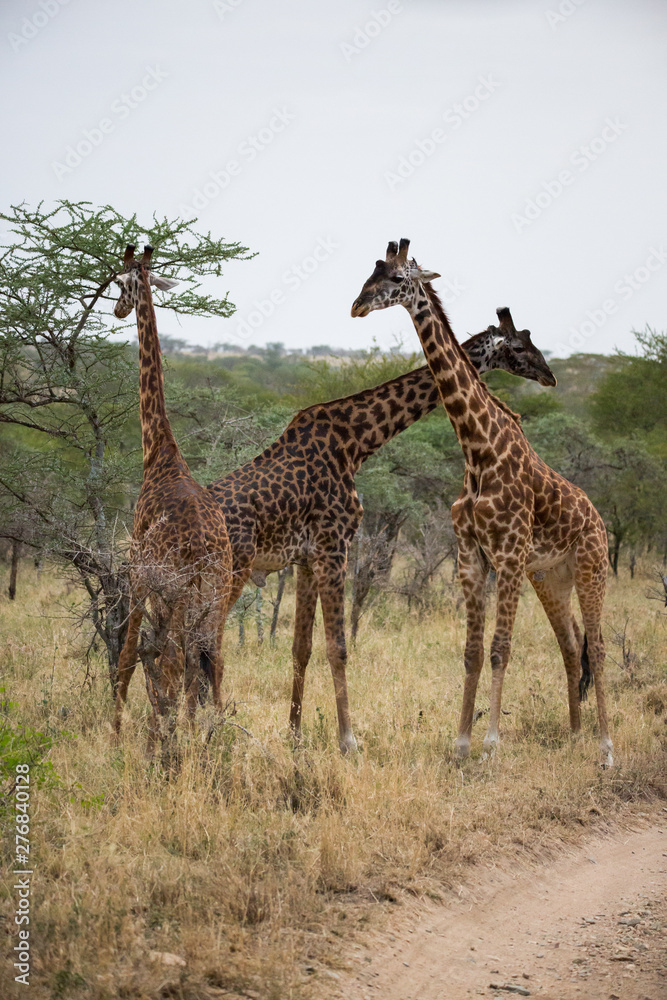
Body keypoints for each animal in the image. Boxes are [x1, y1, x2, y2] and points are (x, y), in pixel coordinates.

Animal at [205, 321, 556, 754]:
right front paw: (349, 741)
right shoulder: (333, 546)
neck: (355, 443)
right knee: (207, 641)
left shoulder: (305, 559)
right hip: (230, 571)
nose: (549, 375)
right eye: (520, 346)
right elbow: (338, 648)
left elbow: (301, 648)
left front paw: (295, 736)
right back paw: (214, 728)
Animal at [351, 239, 613, 767]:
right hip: (551, 577)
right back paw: (575, 735)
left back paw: (605, 749)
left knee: (596, 646)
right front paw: (460, 744)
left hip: (591, 567)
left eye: (397, 279)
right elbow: (472, 652)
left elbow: (500, 647)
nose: (357, 305)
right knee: (570, 642)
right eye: (371, 273)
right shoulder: (472, 556)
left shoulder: (508, 554)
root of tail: (598, 520)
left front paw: (490, 743)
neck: (477, 448)